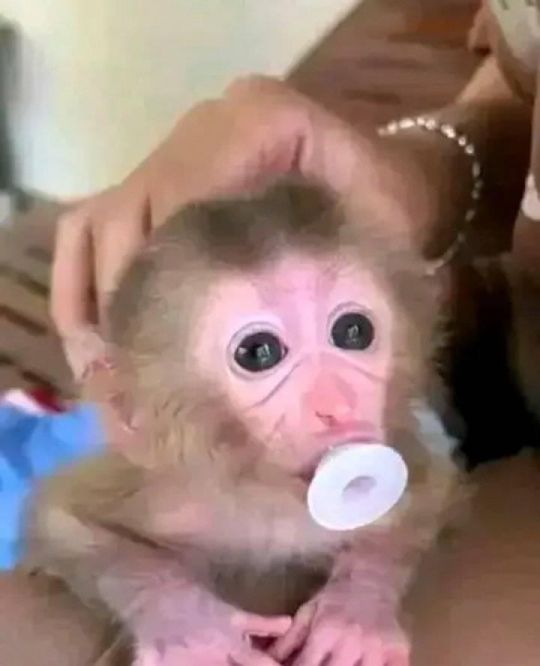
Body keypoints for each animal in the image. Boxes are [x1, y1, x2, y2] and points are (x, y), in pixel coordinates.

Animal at [21, 178, 463, 666]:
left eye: (353, 331)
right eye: (259, 352)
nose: (337, 404)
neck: (267, 490)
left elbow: (431, 491)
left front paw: (355, 612)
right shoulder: (162, 481)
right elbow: (61, 521)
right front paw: (190, 628)